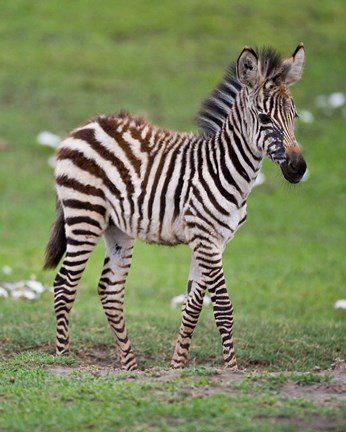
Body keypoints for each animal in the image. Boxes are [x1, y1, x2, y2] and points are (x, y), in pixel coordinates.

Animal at [44, 44, 306, 372]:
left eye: (294, 115)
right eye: (264, 118)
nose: (298, 168)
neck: (226, 168)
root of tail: (86, 125)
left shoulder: (215, 241)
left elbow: (192, 306)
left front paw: (177, 367)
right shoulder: (205, 238)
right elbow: (223, 307)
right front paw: (232, 369)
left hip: (117, 228)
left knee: (110, 290)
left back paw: (130, 367)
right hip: (84, 214)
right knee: (64, 285)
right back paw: (62, 358)